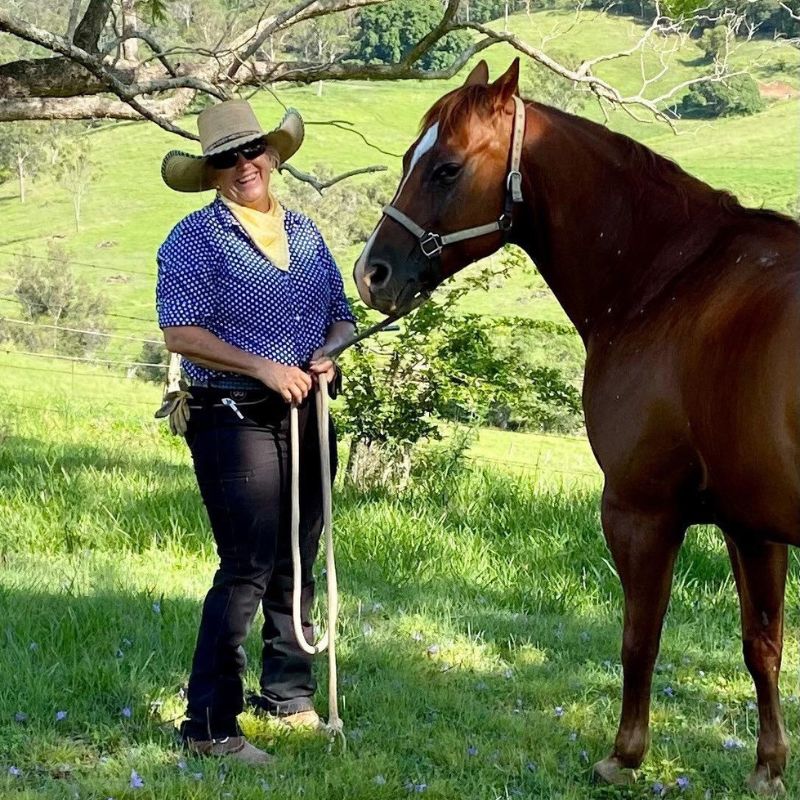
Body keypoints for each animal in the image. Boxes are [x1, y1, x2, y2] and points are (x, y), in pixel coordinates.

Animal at [353, 58, 800, 795]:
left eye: (445, 168)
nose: (373, 274)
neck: (671, 278)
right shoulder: (751, 527)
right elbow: (762, 645)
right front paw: (768, 768)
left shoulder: (640, 511)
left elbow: (639, 638)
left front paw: (625, 755)